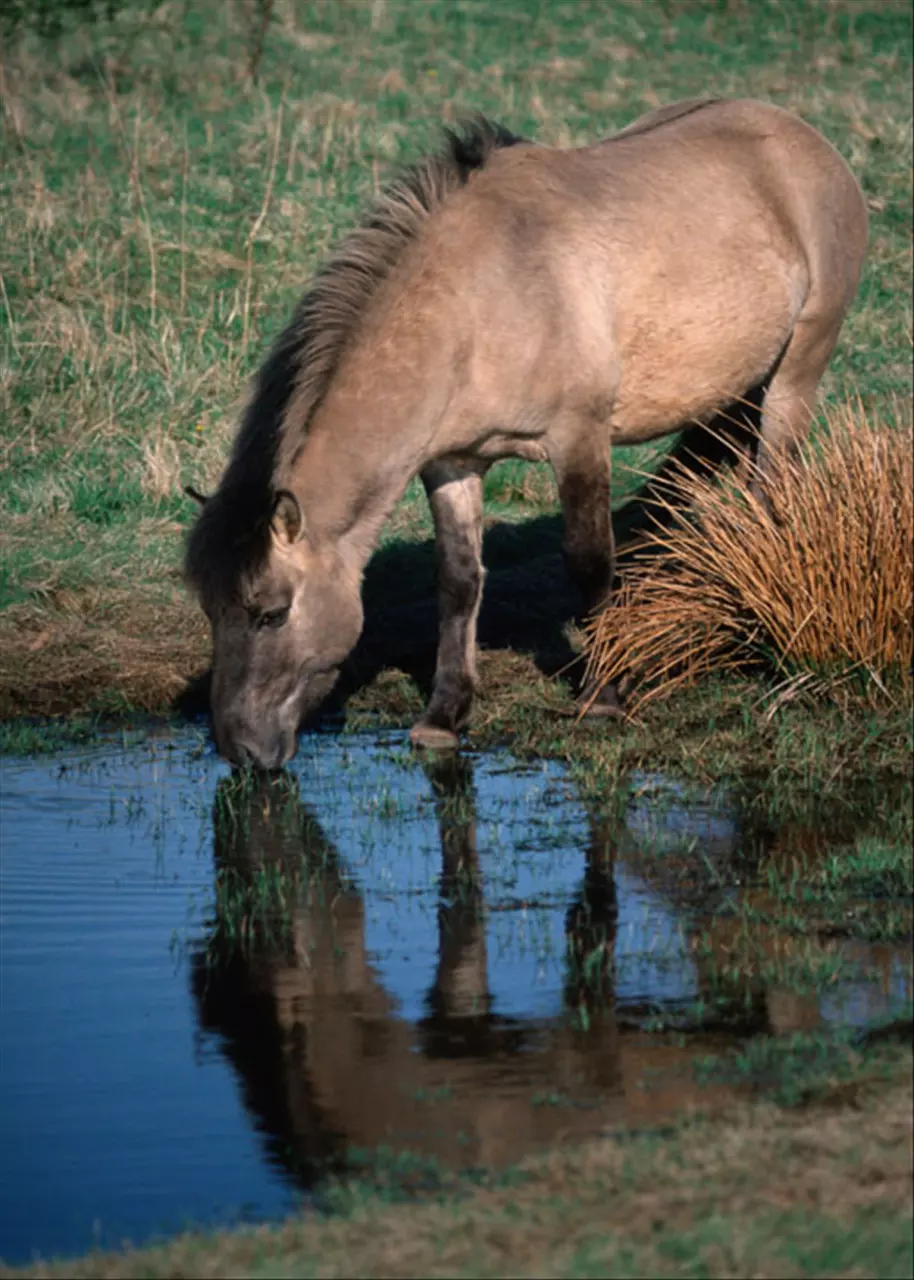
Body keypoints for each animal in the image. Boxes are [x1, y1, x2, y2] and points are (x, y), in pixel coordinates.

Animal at [183, 97, 860, 768]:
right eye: (211, 611)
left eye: (270, 613)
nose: (240, 748)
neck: (483, 299)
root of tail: (806, 142)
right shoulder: (453, 463)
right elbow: (459, 580)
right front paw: (444, 715)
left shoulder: (579, 439)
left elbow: (589, 562)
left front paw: (602, 695)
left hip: (796, 375)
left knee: (773, 490)